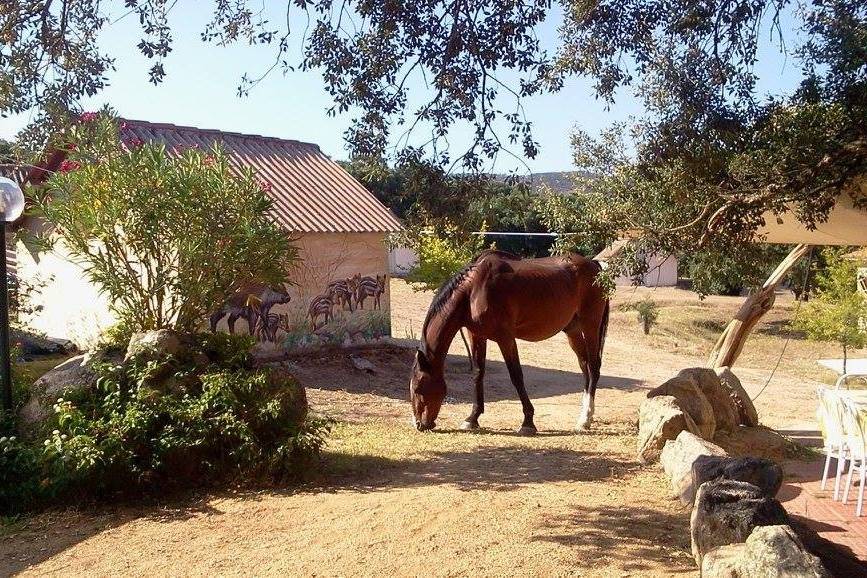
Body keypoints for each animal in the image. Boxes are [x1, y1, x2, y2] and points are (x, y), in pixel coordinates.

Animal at [412, 248, 612, 432]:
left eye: (418, 388)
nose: (419, 424)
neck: (475, 290)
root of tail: (595, 266)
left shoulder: (505, 338)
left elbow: (516, 375)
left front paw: (528, 422)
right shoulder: (477, 335)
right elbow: (478, 373)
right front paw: (472, 418)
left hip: (590, 326)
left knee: (594, 367)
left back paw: (585, 420)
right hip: (573, 330)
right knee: (585, 366)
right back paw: (585, 415)